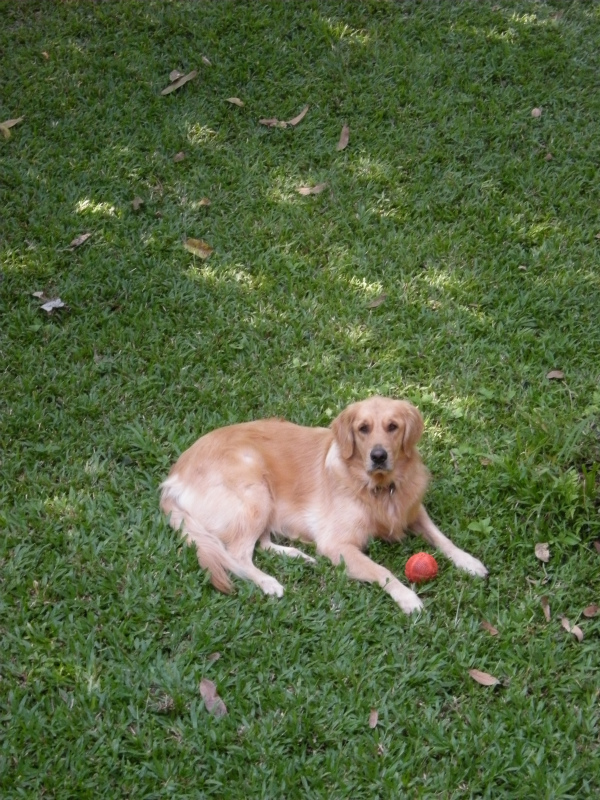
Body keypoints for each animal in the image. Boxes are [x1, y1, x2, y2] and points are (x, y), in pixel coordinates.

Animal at [160, 396, 487, 613]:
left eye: (393, 426)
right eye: (363, 428)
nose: (379, 455)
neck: (380, 489)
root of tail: (172, 477)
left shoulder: (413, 510)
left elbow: (442, 538)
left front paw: (468, 561)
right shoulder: (337, 544)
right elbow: (381, 569)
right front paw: (407, 597)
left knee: (260, 544)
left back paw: (298, 555)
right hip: (254, 488)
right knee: (237, 554)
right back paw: (269, 581)